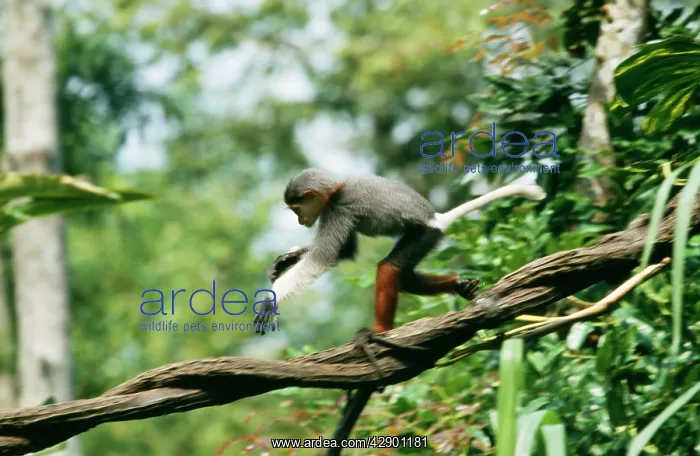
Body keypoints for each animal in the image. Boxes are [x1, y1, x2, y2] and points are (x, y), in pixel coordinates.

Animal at [253, 168, 546, 338]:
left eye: (296, 209)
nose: (299, 220)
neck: (336, 188)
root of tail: (435, 218)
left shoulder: (338, 209)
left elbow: (323, 258)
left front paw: (271, 299)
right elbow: (345, 252)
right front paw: (288, 259)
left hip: (423, 235)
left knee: (389, 268)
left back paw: (381, 331)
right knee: (401, 275)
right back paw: (457, 285)